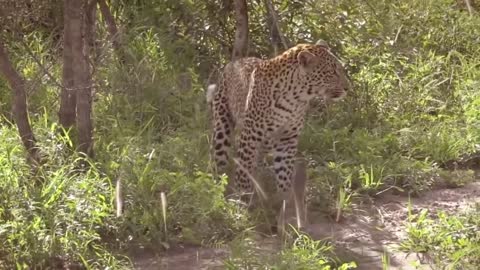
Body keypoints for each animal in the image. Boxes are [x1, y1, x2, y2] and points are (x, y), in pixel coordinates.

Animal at [205, 40, 348, 202]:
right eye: (333, 72)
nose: (347, 88)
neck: (296, 98)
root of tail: (234, 62)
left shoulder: (288, 138)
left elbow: (284, 170)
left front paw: (286, 199)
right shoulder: (250, 135)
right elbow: (244, 167)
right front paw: (243, 195)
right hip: (222, 125)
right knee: (219, 157)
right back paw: (216, 185)